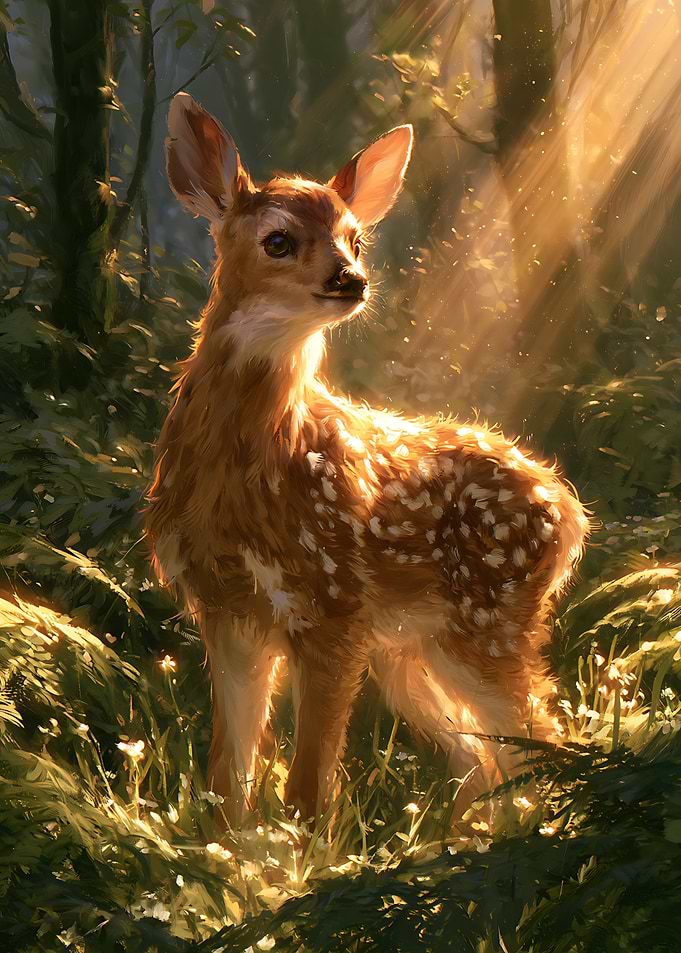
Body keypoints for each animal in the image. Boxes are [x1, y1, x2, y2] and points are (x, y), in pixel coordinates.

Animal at [145, 92, 590, 830]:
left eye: (354, 238)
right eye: (278, 239)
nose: (350, 280)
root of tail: (570, 511)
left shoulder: (332, 606)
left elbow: (305, 789)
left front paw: (296, 858)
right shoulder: (226, 609)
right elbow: (227, 775)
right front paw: (228, 857)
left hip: (488, 621)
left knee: (543, 740)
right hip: (411, 650)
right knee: (485, 760)